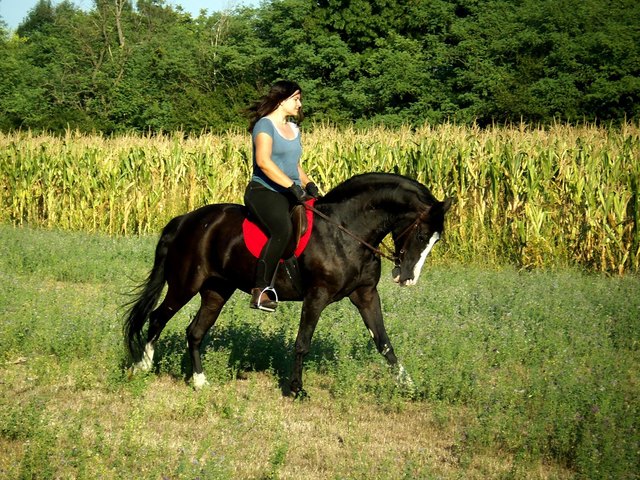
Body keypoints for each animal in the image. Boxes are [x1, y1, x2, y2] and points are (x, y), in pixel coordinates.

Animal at [124, 172, 452, 396]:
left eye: (436, 240)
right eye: (422, 235)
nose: (407, 278)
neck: (346, 231)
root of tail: (185, 220)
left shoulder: (366, 295)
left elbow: (383, 342)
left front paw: (408, 385)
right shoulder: (317, 296)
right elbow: (302, 343)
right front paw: (296, 389)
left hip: (216, 291)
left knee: (194, 331)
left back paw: (200, 381)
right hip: (185, 285)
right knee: (157, 317)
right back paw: (143, 365)